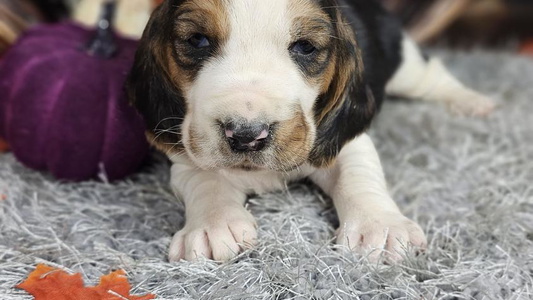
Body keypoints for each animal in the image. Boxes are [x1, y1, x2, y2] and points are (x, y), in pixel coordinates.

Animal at [127, 0, 492, 262]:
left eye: (304, 47)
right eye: (197, 40)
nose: (246, 135)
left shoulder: (343, 139)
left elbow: (356, 174)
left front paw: (380, 227)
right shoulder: (185, 149)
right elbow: (205, 179)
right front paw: (211, 226)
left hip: (404, 61)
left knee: (431, 75)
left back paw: (473, 101)